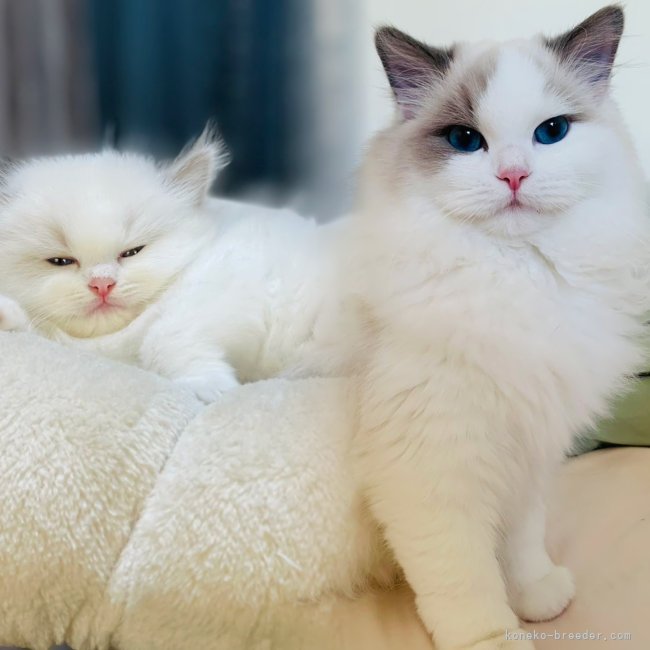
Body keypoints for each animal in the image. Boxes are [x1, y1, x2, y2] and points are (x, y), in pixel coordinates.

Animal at [0, 127, 349, 402]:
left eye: (132, 252)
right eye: (60, 261)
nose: (102, 284)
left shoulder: (224, 283)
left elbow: (164, 338)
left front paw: (210, 388)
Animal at [349, 5, 650, 650]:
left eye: (551, 132)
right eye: (465, 140)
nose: (513, 175)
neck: (517, 277)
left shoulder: (525, 453)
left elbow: (520, 545)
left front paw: (537, 597)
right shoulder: (431, 468)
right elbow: (465, 577)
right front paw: (497, 636)